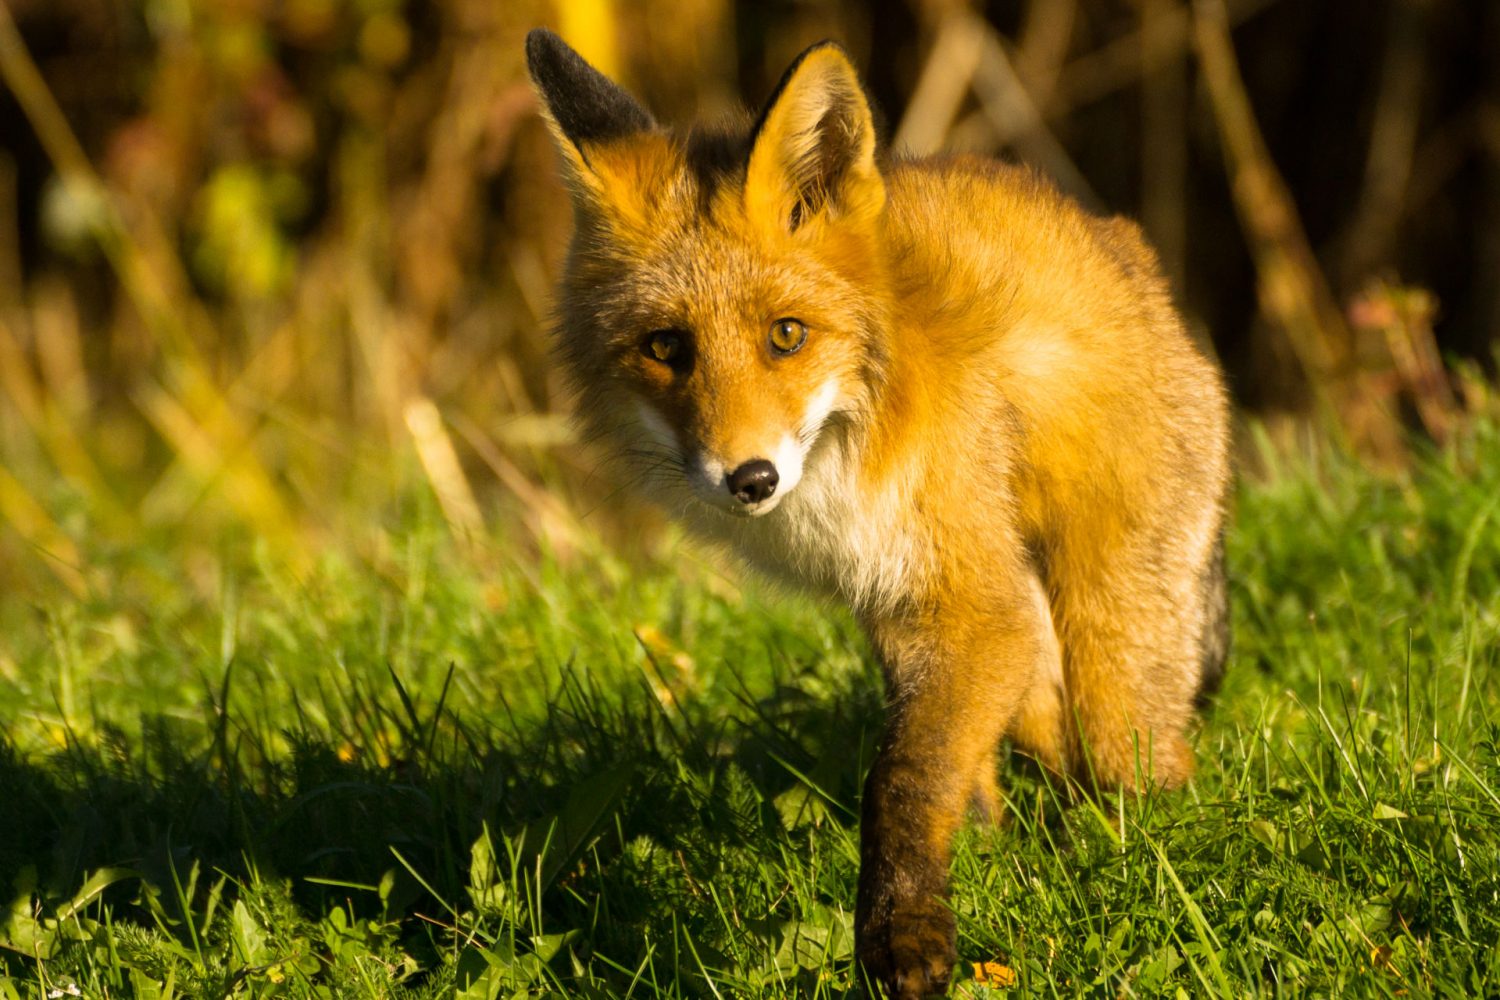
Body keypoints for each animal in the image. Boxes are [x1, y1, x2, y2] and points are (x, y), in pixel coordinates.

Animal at [528, 27, 1230, 995]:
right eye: (666, 347)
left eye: (787, 334)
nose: (749, 478)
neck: (843, 452)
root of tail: (1138, 263)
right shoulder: (902, 605)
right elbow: (928, 765)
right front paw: (954, 871)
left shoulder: (970, 605)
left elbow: (897, 780)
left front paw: (902, 929)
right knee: (1038, 738)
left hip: (1111, 635)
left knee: (1130, 759)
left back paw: (1131, 846)